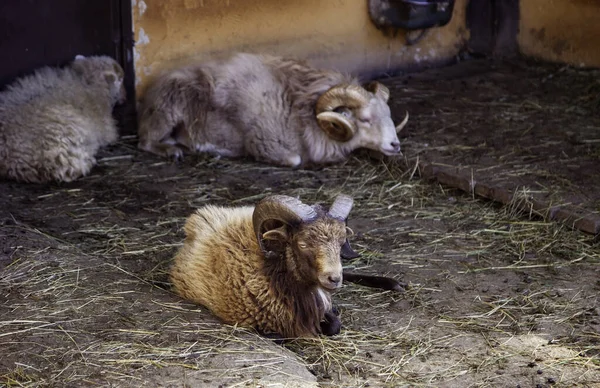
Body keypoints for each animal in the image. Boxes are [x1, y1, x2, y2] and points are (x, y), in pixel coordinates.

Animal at [137, 52, 408, 167]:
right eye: (364, 119)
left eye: (388, 115)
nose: (395, 145)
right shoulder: (266, 144)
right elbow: (294, 160)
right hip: (166, 111)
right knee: (145, 142)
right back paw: (173, 150)